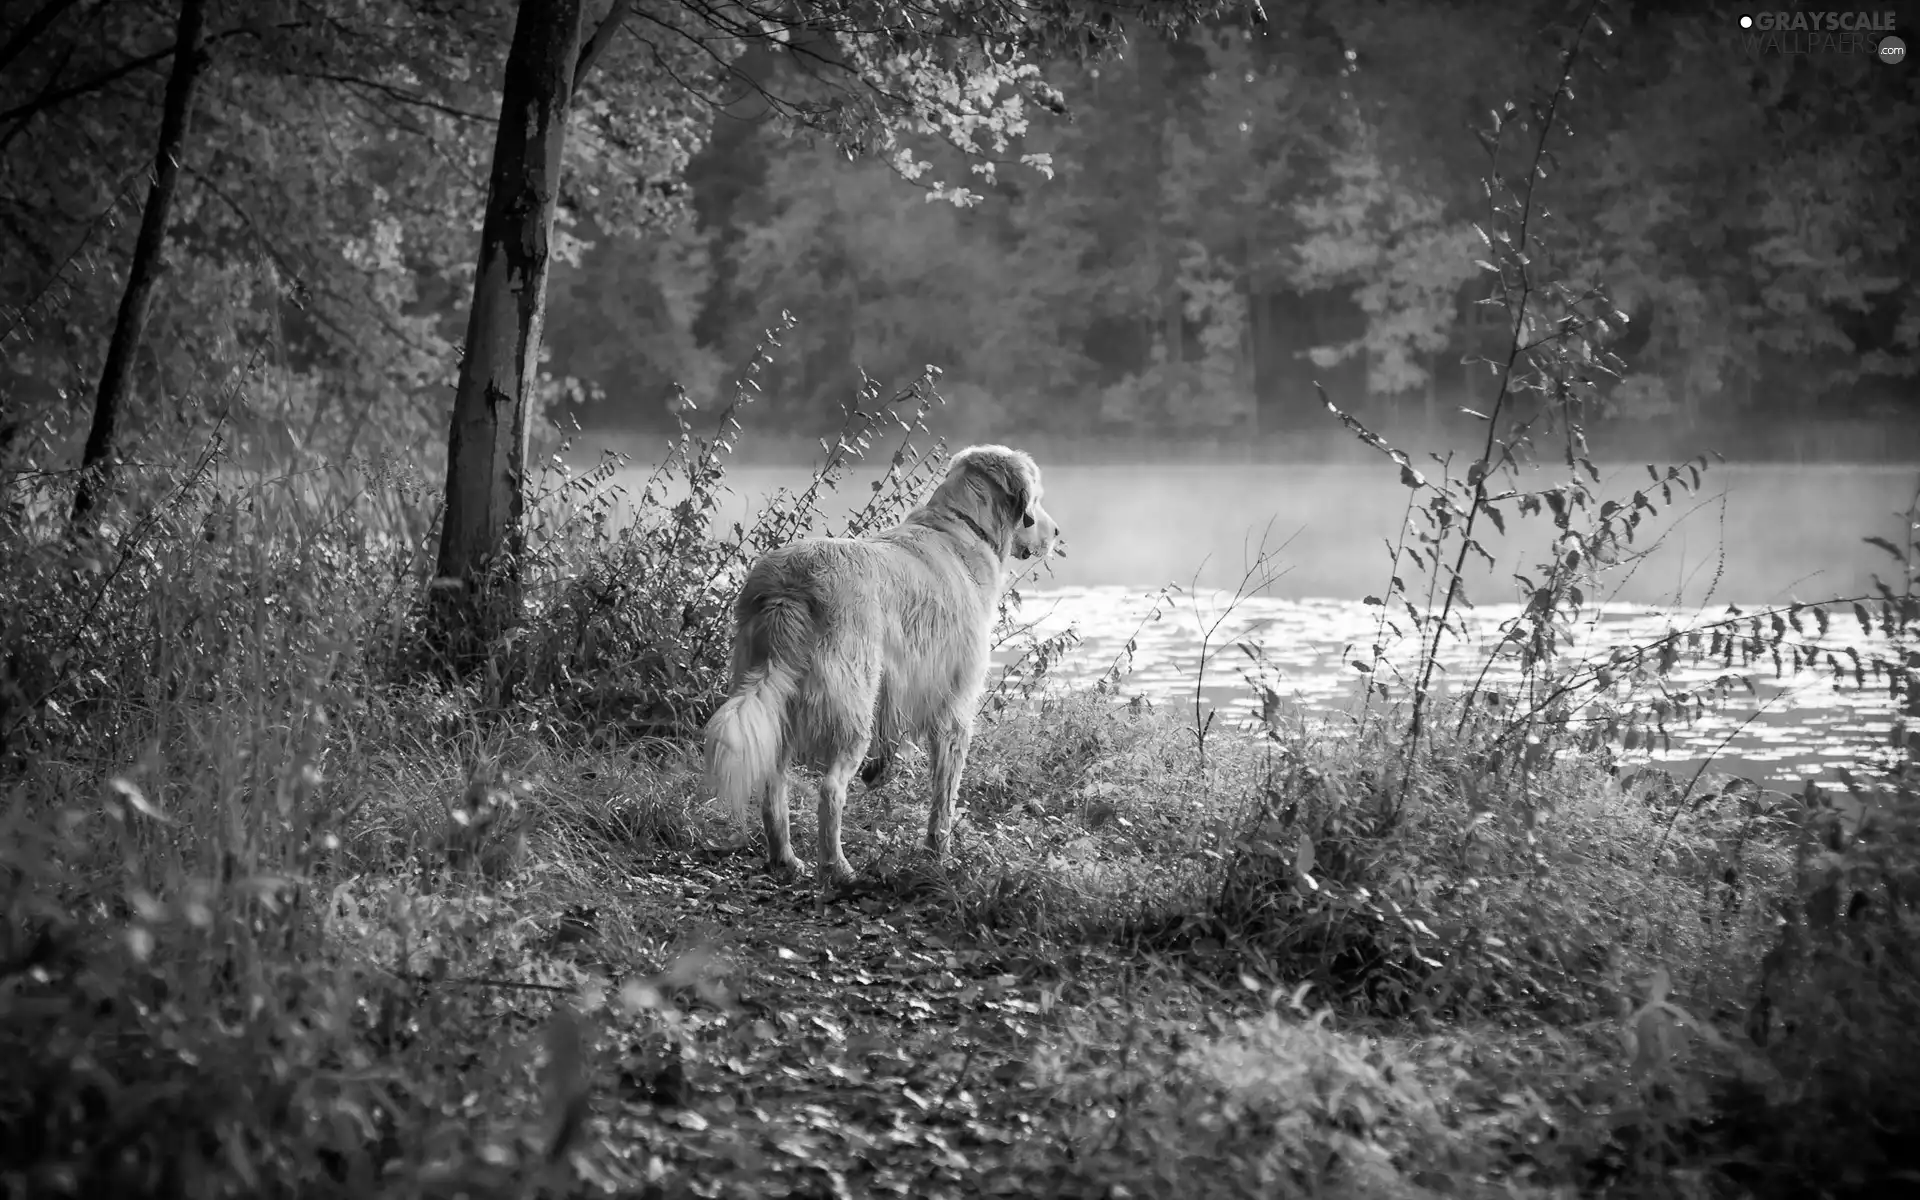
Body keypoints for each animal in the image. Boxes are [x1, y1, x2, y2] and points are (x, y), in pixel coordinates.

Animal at [706, 445, 1067, 883]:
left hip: (774, 696)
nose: (1056, 532)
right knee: (830, 790)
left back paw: (785, 859)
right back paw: (838, 867)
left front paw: (880, 774)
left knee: (774, 784)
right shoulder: (955, 707)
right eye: (1038, 498)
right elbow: (944, 798)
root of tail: (788, 587)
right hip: (852, 704)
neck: (962, 528)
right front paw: (938, 855)